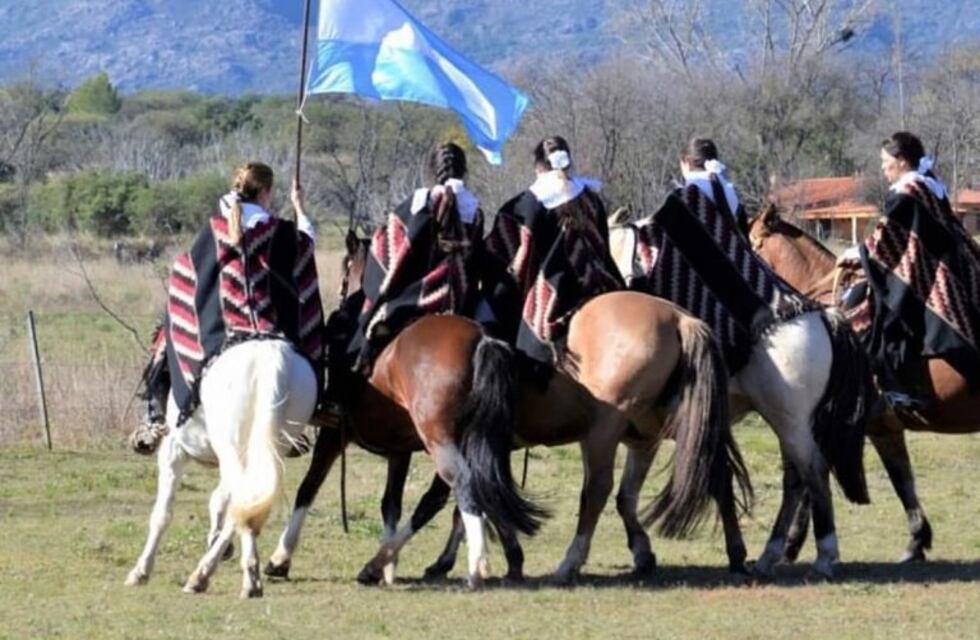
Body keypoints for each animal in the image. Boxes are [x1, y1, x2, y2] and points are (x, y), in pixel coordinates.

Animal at [126, 339, 318, 598]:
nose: (142, 441)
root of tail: (272, 358)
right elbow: (219, 501)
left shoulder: (173, 451)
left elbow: (162, 514)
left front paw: (140, 571)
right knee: (244, 505)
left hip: (232, 448)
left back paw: (218, 577)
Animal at [265, 235, 753, 586]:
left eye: (349, 273)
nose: (342, 312)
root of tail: (680, 319)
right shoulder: (439, 445)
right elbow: (437, 501)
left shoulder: (345, 436)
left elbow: (313, 489)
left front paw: (281, 558)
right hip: (654, 428)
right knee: (697, 478)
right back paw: (715, 552)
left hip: (604, 432)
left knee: (595, 492)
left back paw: (565, 562)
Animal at [608, 208, 875, 579]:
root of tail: (825, 317)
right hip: (786, 422)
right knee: (795, 480)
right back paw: (771, 554)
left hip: (789, 421)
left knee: (814, 472)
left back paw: (823, 555)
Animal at [748, 202, 980, 562]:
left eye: (751, 243)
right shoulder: (883, 427)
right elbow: (902, 480)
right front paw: (917, 541)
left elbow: (809, 482)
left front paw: (789, 545)